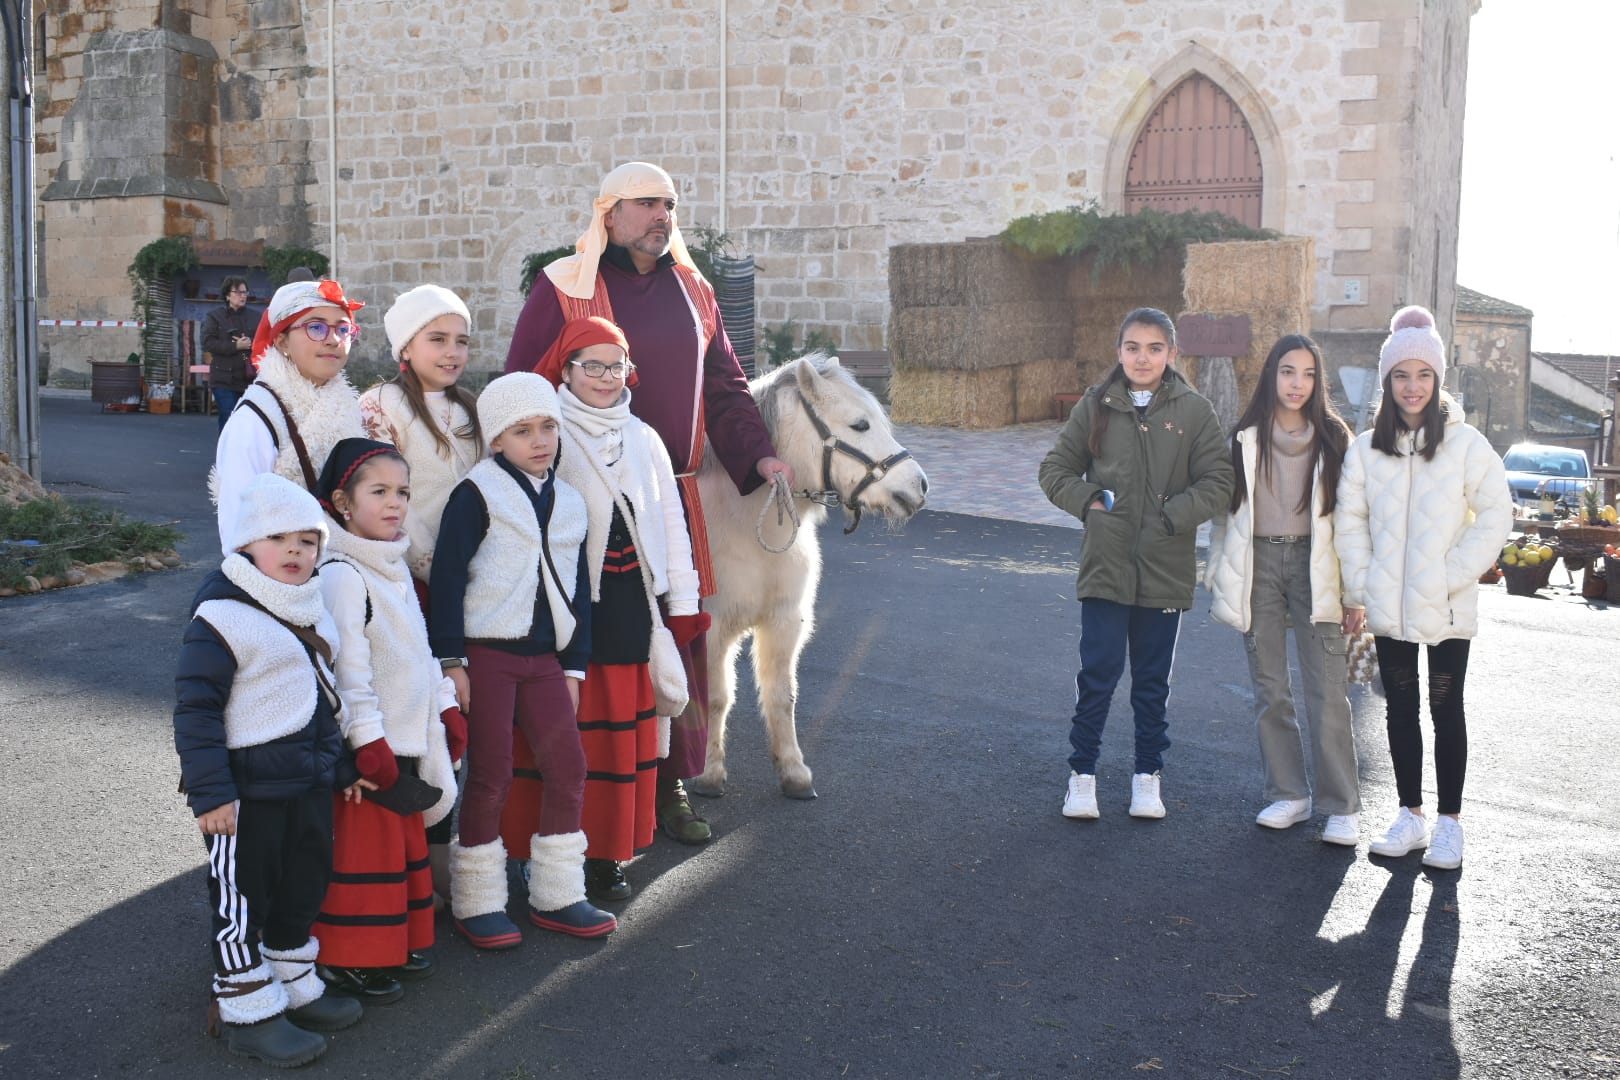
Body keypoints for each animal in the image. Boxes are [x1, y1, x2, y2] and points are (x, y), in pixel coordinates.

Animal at [690, 356, 933, 803]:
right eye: (860, 425)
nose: (919, 486)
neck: (744, 522)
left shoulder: (784, 622)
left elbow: (782, 696)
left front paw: (793, 771)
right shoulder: (710, 629)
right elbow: (715, 698)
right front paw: (708, 773)